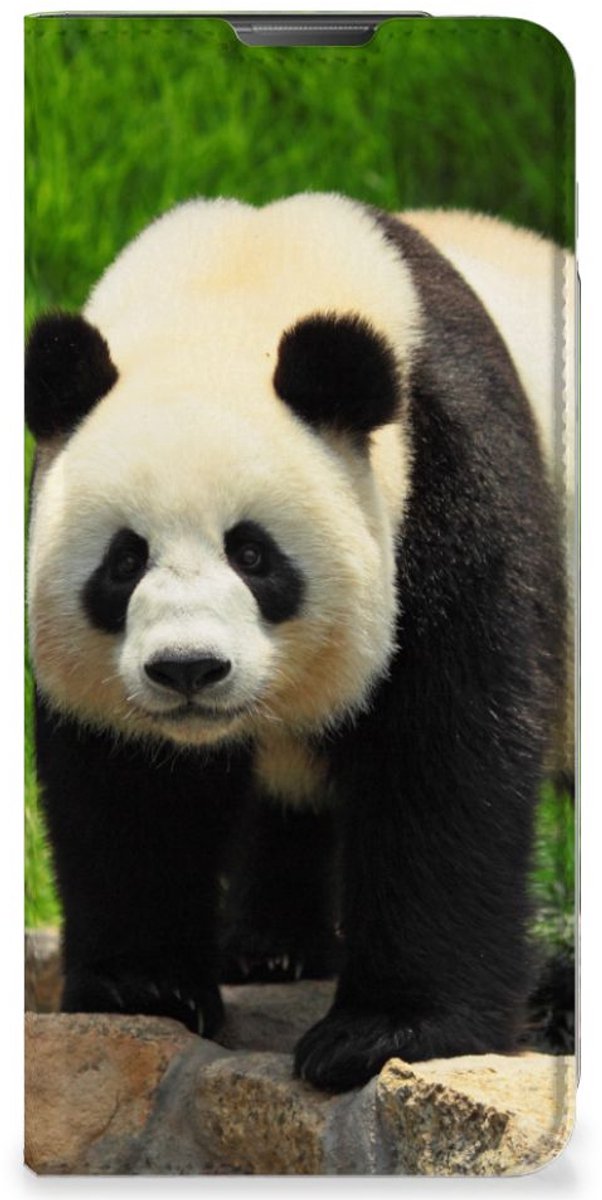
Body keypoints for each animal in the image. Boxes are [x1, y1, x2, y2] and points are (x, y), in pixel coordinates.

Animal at [25, 192, 569, 1093]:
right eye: (124, 561)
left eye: (253, 554)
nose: (188, 669)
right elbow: (126, 785)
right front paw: (145, 987)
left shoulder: (450, 479)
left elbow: (446, 753)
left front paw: (384, 1032)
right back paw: (271, 948)